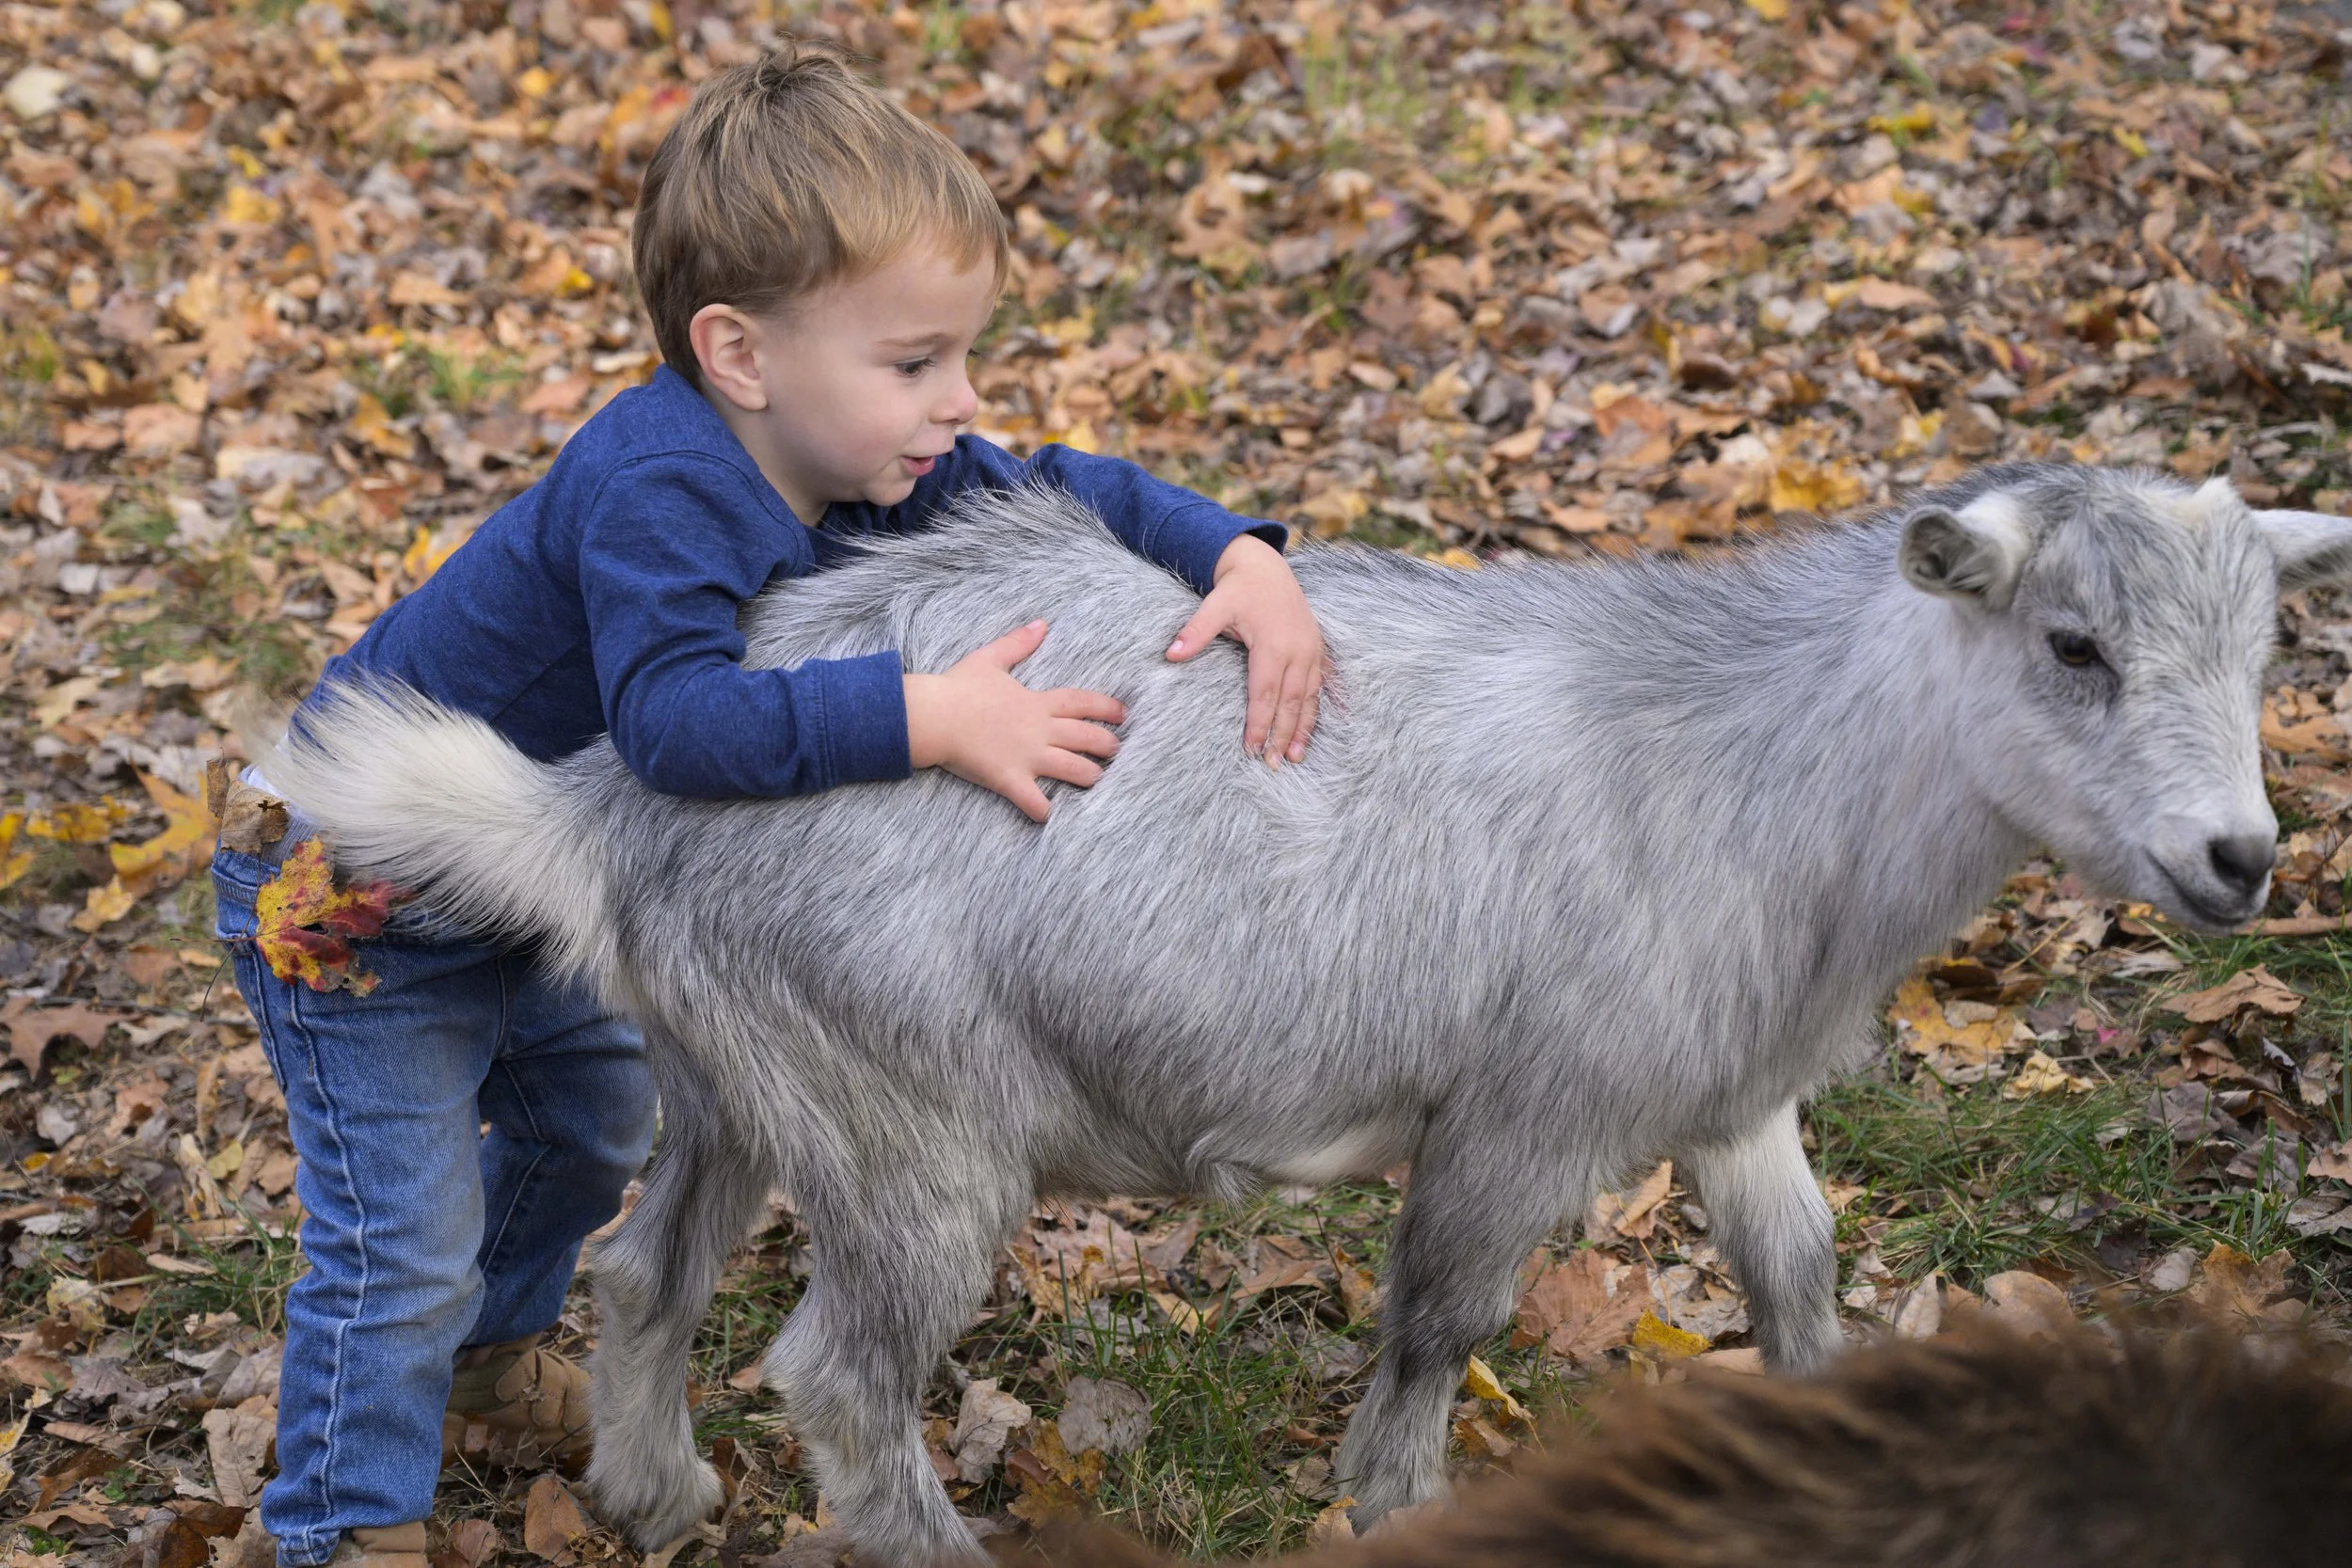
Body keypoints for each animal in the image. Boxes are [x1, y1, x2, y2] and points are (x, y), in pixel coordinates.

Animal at [266, 463, 2352, 1564]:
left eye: (2262, 647)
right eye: (2070, 644)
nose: (2241, 855)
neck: (1750, 756)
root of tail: (615, 798)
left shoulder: (1726, 1090)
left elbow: (1799, 1270)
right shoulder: (1523, 1104)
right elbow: (1441, 1320)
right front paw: (1390, 1501)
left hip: (743, 1083)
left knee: (644, 1269)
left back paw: (653, 1484)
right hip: (909, 1120)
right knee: (844, 1376)